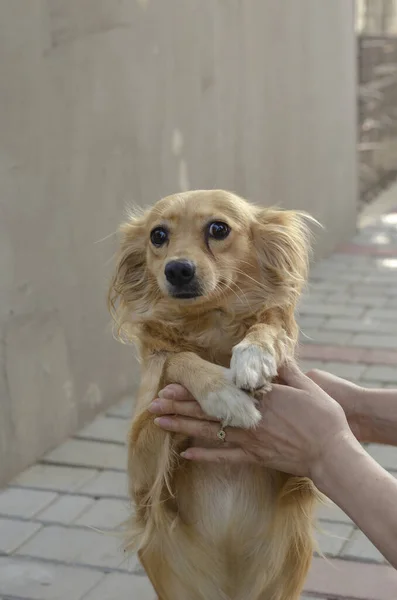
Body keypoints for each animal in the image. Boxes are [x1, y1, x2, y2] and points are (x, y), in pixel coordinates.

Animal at [108, 191, 318, 600]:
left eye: (218, 229)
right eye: (158, 235)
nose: (177, 269)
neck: (209, 325)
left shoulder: (301, 474)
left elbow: (267, 325)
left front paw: (254, 354)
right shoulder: (142, 480)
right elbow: (176, 358)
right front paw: (223, 394)